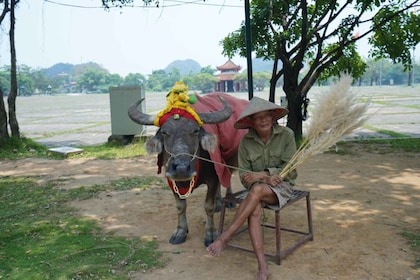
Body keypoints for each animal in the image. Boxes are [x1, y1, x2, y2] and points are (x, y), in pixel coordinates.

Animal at [127, 93, 246, 246]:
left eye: (195, 131)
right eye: (164, 132)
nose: (181, 168)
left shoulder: (213, 177)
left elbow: (208, 206)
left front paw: (210, 234)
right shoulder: (171, 179)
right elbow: (180, 206)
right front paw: (180, 232)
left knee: (227, 176)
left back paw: (229, 200)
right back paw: (219, 203)